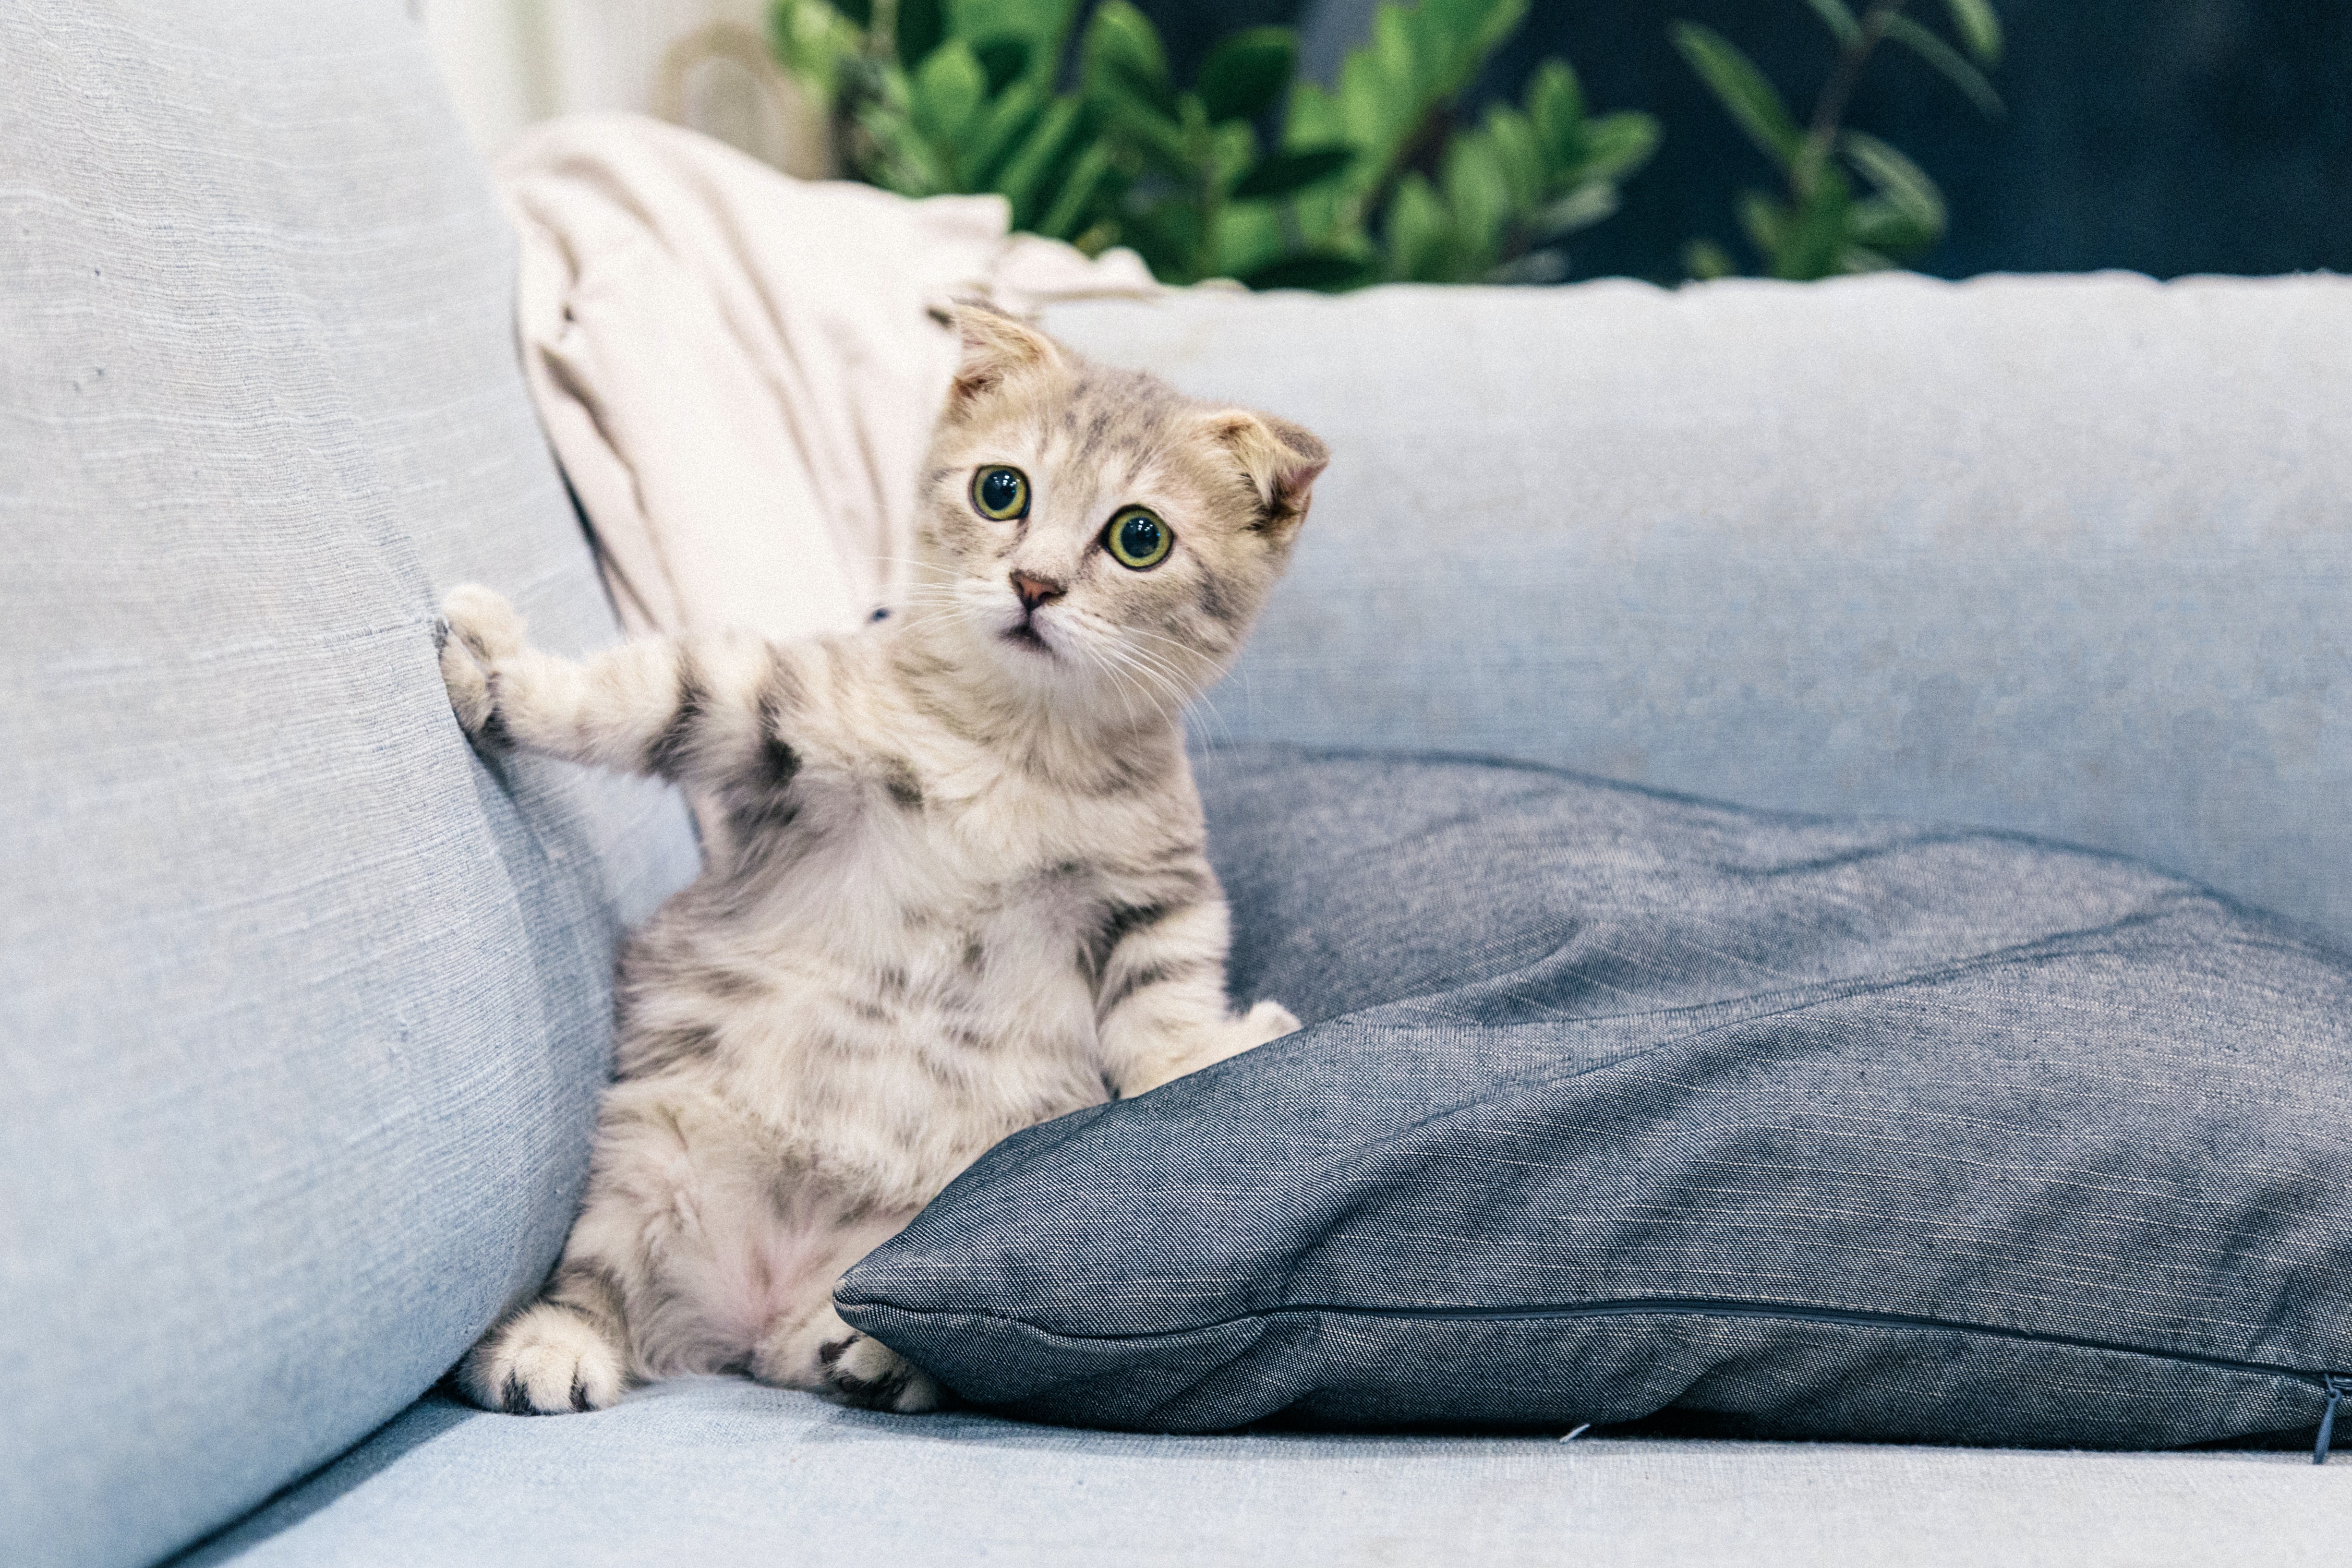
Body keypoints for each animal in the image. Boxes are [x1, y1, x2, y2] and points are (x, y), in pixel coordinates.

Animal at [437, 303, 1327, 1410]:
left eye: (1138, 537)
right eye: (1001, 489)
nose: (1033, 583)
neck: (1017, 749)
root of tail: (756, 1307)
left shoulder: (1157, 892)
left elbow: (1163, 1008)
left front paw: (1202, 1058)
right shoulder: (778, 718)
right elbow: (648, 693)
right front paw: (498, 673)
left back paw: (866, 1351)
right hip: (646, 1152)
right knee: (597, 1279)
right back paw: (554, 1347)